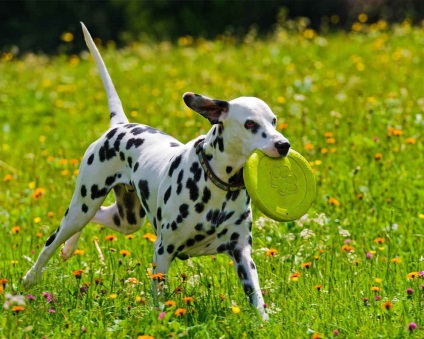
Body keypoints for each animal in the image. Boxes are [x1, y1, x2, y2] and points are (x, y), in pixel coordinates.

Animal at [21, 23, 290, 322]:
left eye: (274, 121)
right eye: (250, 124)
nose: (283, 145)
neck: (216, 185)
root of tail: (120, 125)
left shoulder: (241, 252)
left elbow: (256, 296)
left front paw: (265, 323)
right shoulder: (163, 250)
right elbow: (160, 296)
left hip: (126, 219)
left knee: (98, 217)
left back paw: (69, 248)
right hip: (82, 205)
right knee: (53, 241)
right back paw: (31, 277)